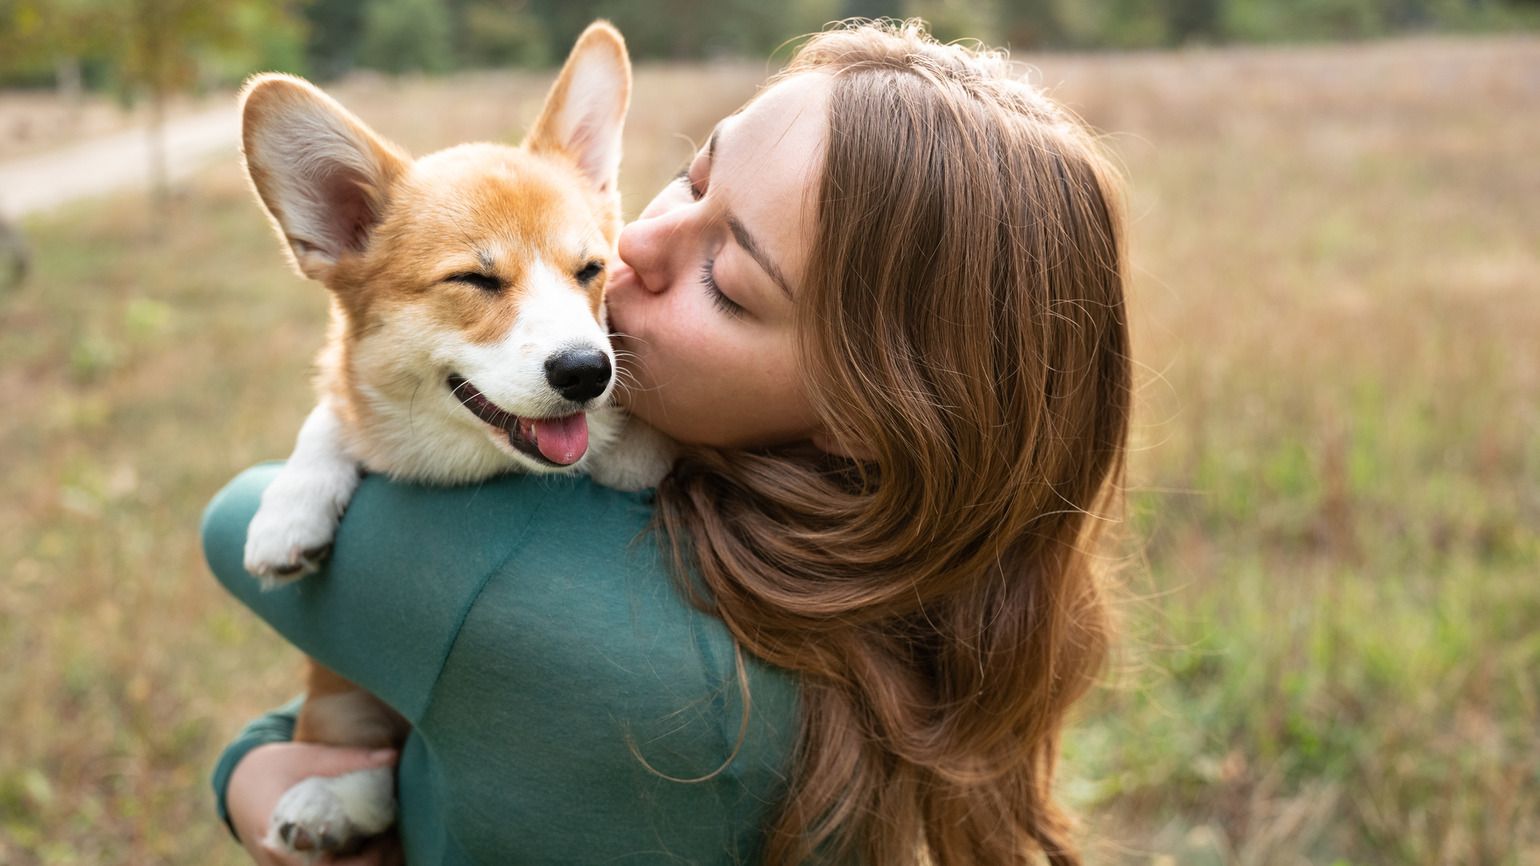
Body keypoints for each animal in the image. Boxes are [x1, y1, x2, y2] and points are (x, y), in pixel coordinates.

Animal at [235, 21, 668, 856]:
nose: (587, 371)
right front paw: (288, 515)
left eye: (590, 270)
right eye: (475, 280)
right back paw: (328, 805)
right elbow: (331, 414)